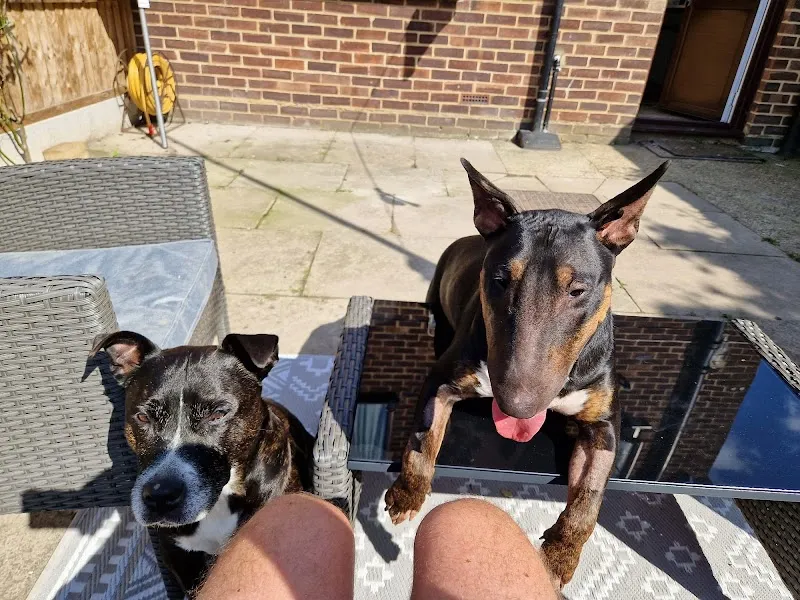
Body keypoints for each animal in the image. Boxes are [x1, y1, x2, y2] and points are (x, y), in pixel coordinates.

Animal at [385, 158, 669, 588]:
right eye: (500, 281)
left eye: (577, 290)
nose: (516, 407)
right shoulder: (442, 379)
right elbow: (423, 436)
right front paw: (407, 493)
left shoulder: (603, 424)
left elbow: (590, 495)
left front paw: (558, 556)